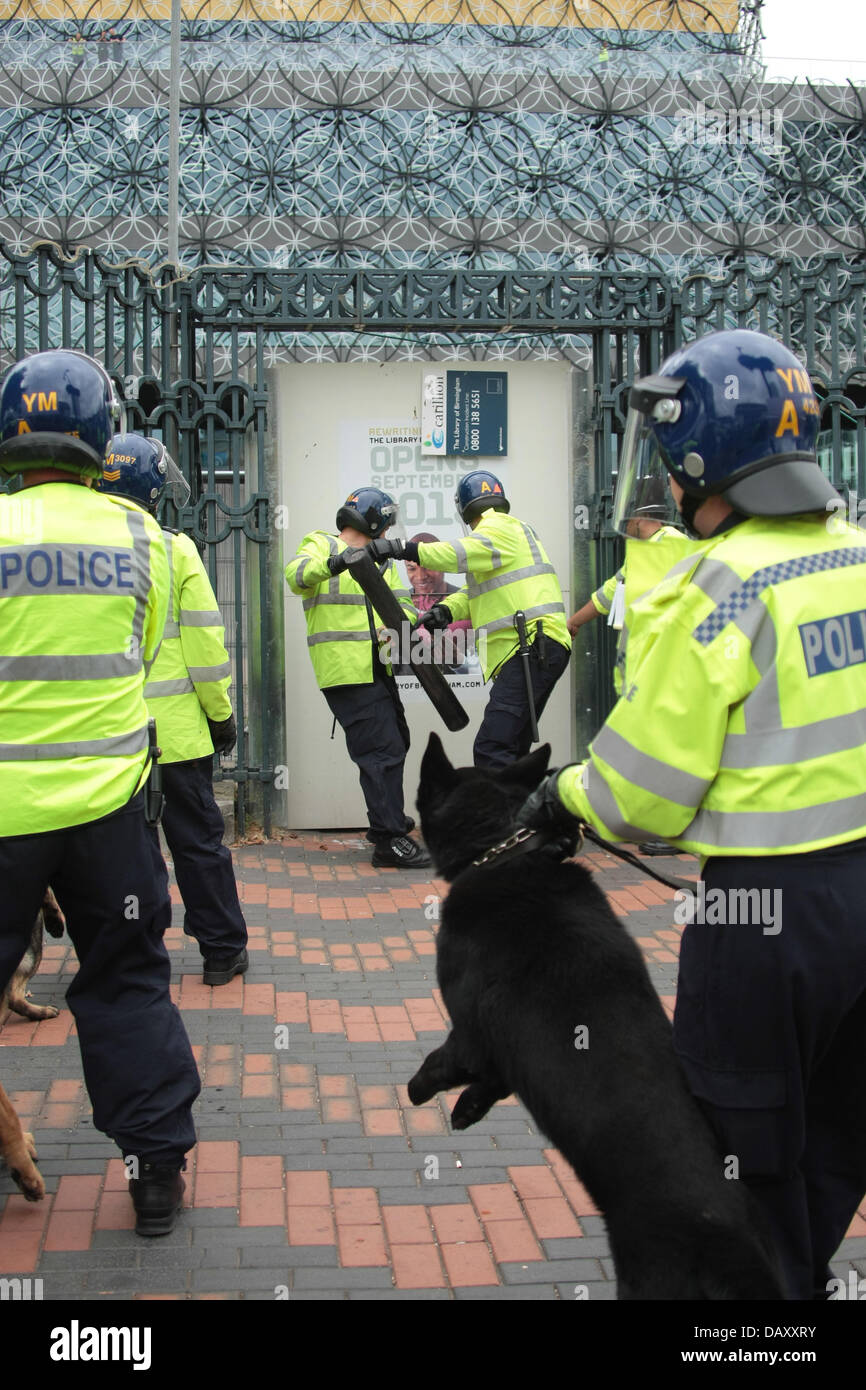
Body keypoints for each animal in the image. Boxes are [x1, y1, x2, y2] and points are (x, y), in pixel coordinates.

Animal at [408, 739, 783, 1301]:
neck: (506, 853)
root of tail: (735, 1250)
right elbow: (497, 1078)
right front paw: (471, 1105)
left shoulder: (470, 1034)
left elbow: (443, 1061)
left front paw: (422, 1089)